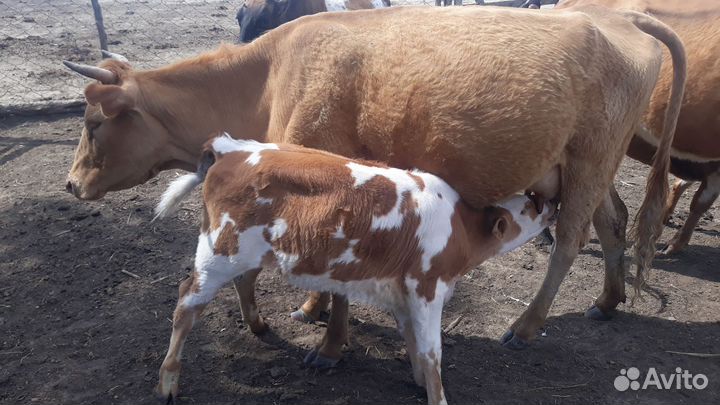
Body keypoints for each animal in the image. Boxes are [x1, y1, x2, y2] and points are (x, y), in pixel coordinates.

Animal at [62, 5, 686, 355]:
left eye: (93, 123)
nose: (70, 185)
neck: (270, 76)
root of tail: (619, 17)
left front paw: (327, 334)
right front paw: (312, 309)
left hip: (589, 162)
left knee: (572, 241)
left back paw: (527, 326)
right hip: (585, 169)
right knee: (613, 223)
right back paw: (607, 301)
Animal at [152, 134, 558, 405]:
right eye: (529, 208)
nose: (552, 205)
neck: (458, 226)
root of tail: (232, 147)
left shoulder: (402, 292)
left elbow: (414, 341)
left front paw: (418, 381)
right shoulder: (427, 288)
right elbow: (432, 352)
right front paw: (437, 395)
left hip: (249, 253)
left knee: (242, 282)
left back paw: (258, 325)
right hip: (218, 254)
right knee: (186, 304)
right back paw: (168, 381)